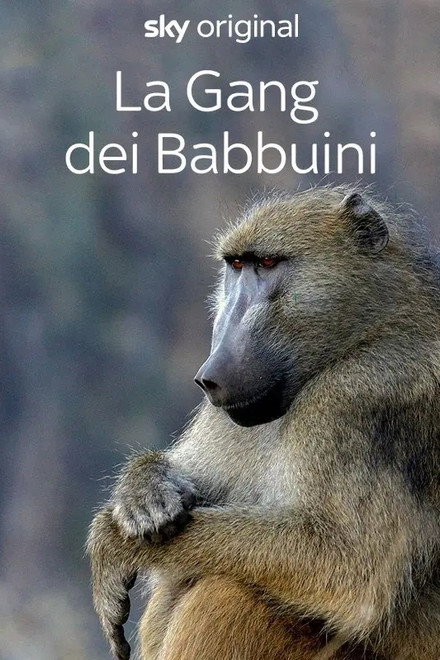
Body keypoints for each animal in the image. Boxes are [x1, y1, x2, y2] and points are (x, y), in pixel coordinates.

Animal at [87, 185, 440, 660]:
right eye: (236, 267)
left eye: (268, 263)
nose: (210, 374)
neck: (371, 330)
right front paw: (143, 492)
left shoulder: (363, 394)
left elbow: (347, 567)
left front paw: (111, 542)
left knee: (227, 592)